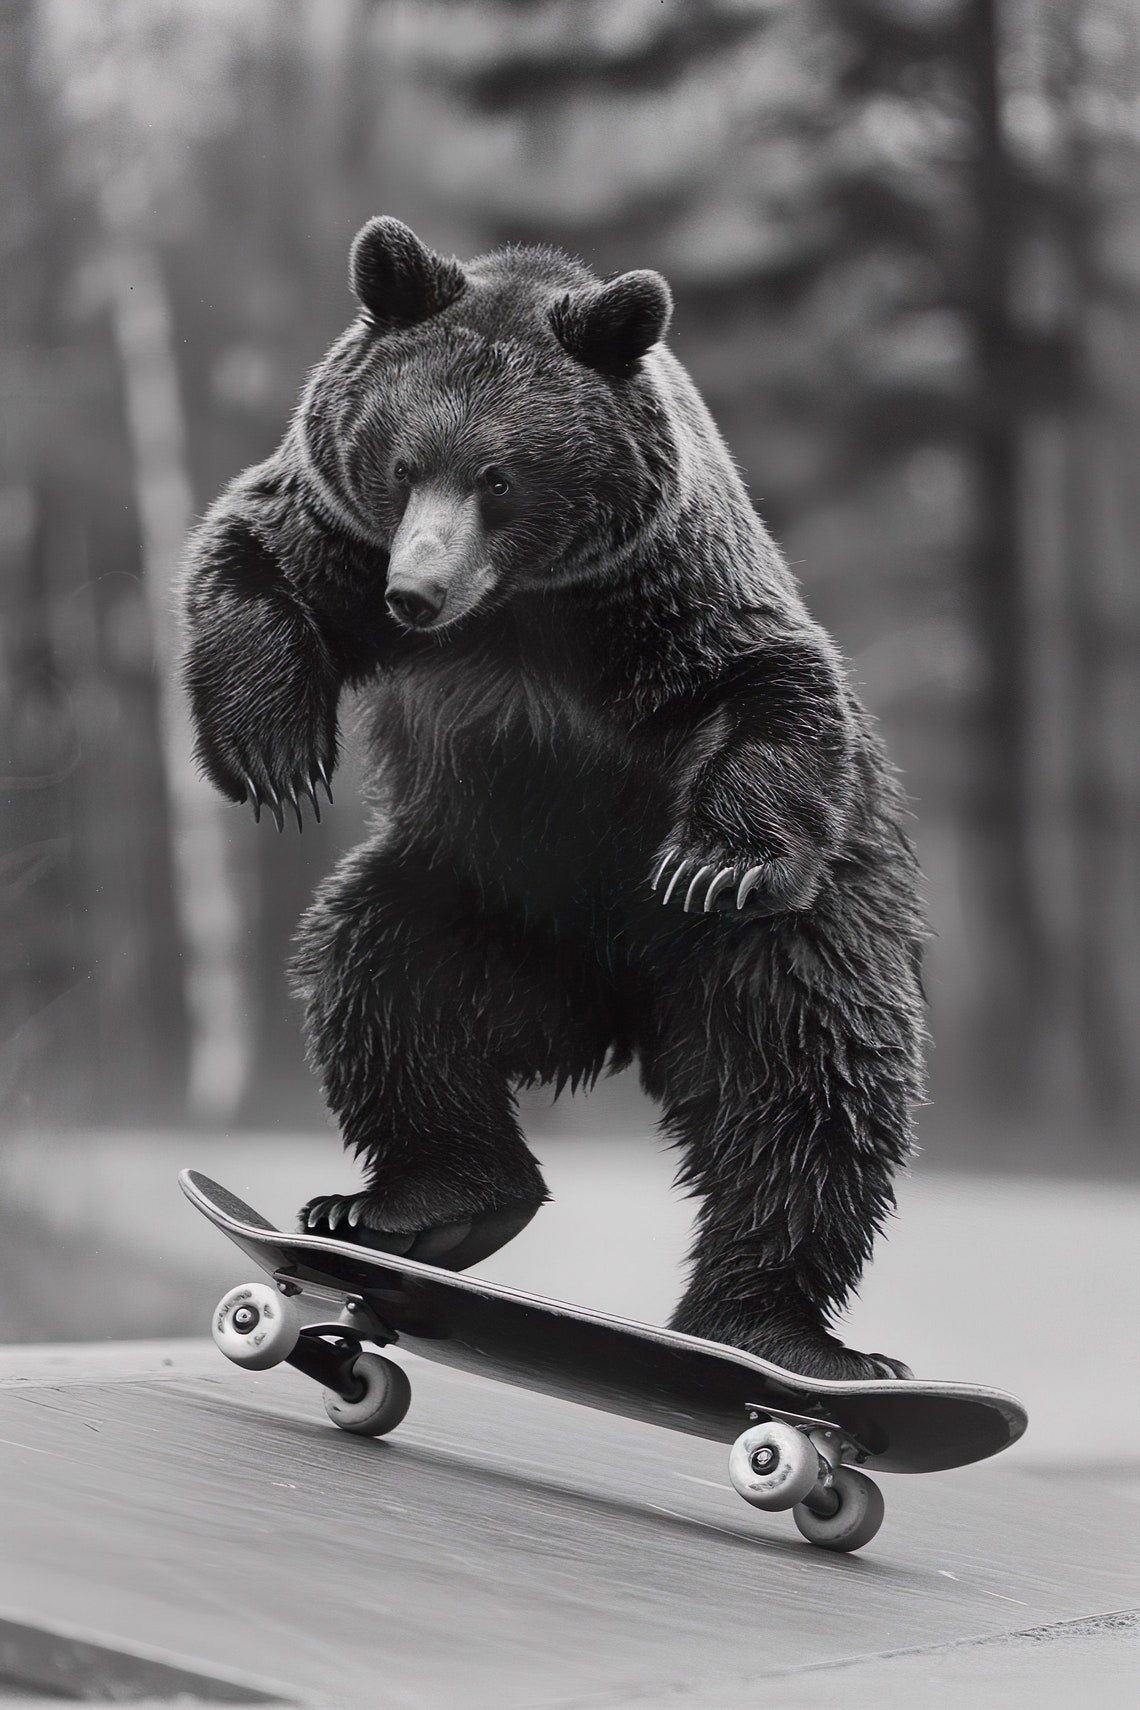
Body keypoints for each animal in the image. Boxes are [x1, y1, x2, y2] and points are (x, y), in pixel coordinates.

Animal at [181, 216, 926, 1381]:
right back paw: (420, 1205)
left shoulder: (660, 602)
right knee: (381, 986)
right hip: (471, 893)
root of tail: (615, 1015)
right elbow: (258, 555)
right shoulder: (347, 546)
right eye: (404, 464)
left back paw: (780, 1333)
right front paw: (276, 756)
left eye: (499, 476)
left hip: (785, 942)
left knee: (809, 1084)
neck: (517, 607)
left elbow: (768, 680)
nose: (418, 591)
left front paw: (711, 860)